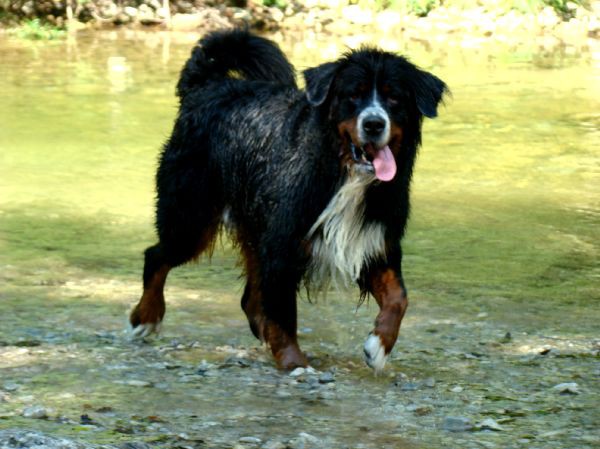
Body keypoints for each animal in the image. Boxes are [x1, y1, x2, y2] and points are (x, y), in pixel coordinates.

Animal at [129, 28, 446, 372]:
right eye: (353, 95)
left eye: (393, 98)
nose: (374, 123)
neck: (341, 174)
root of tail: (208, 86)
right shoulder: (283, 244)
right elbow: (284, 313)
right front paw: (294, 362)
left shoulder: (374, 239)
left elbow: (398, 297)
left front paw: (379, 346)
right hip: (191, 217)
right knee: (156, 256)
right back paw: (146, 318)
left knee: (249, 299)